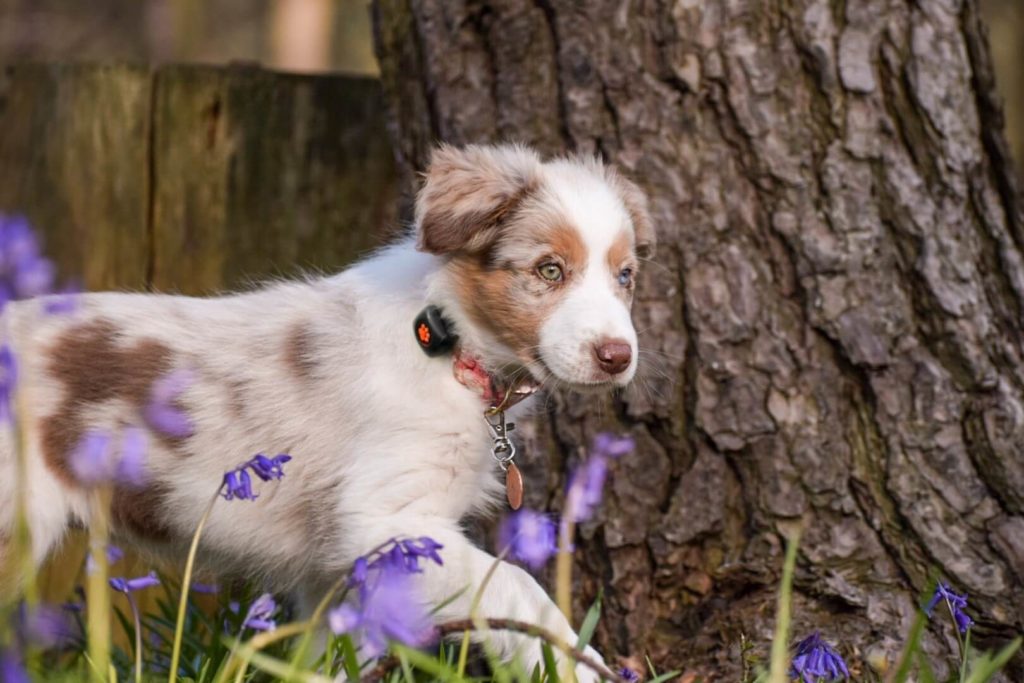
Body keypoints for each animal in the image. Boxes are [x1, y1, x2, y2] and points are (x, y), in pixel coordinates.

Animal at [0, 143, 655, 679]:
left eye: (625, 277)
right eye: (549, 270)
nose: (617, 357)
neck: (449, 345)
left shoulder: (333, 575)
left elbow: (332, 662)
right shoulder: (384, 520)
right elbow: (518, 584)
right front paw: (578, 665)